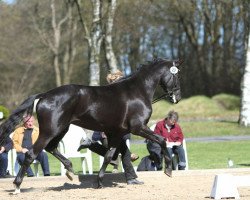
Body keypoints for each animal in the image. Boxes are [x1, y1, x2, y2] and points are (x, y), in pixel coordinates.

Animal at [0, 57, 184, 191]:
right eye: (176, 75)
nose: (177, 97)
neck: (137, 91)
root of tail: (45, 95)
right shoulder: (138, 128)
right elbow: (162, 140)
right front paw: (168, 170)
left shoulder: (116, 133)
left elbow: (109, 155)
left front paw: (100, 182)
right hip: (49, 131)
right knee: (32, 154)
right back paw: (17, 186)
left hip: (61, 129)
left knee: (51, 148)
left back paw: (70, 170)